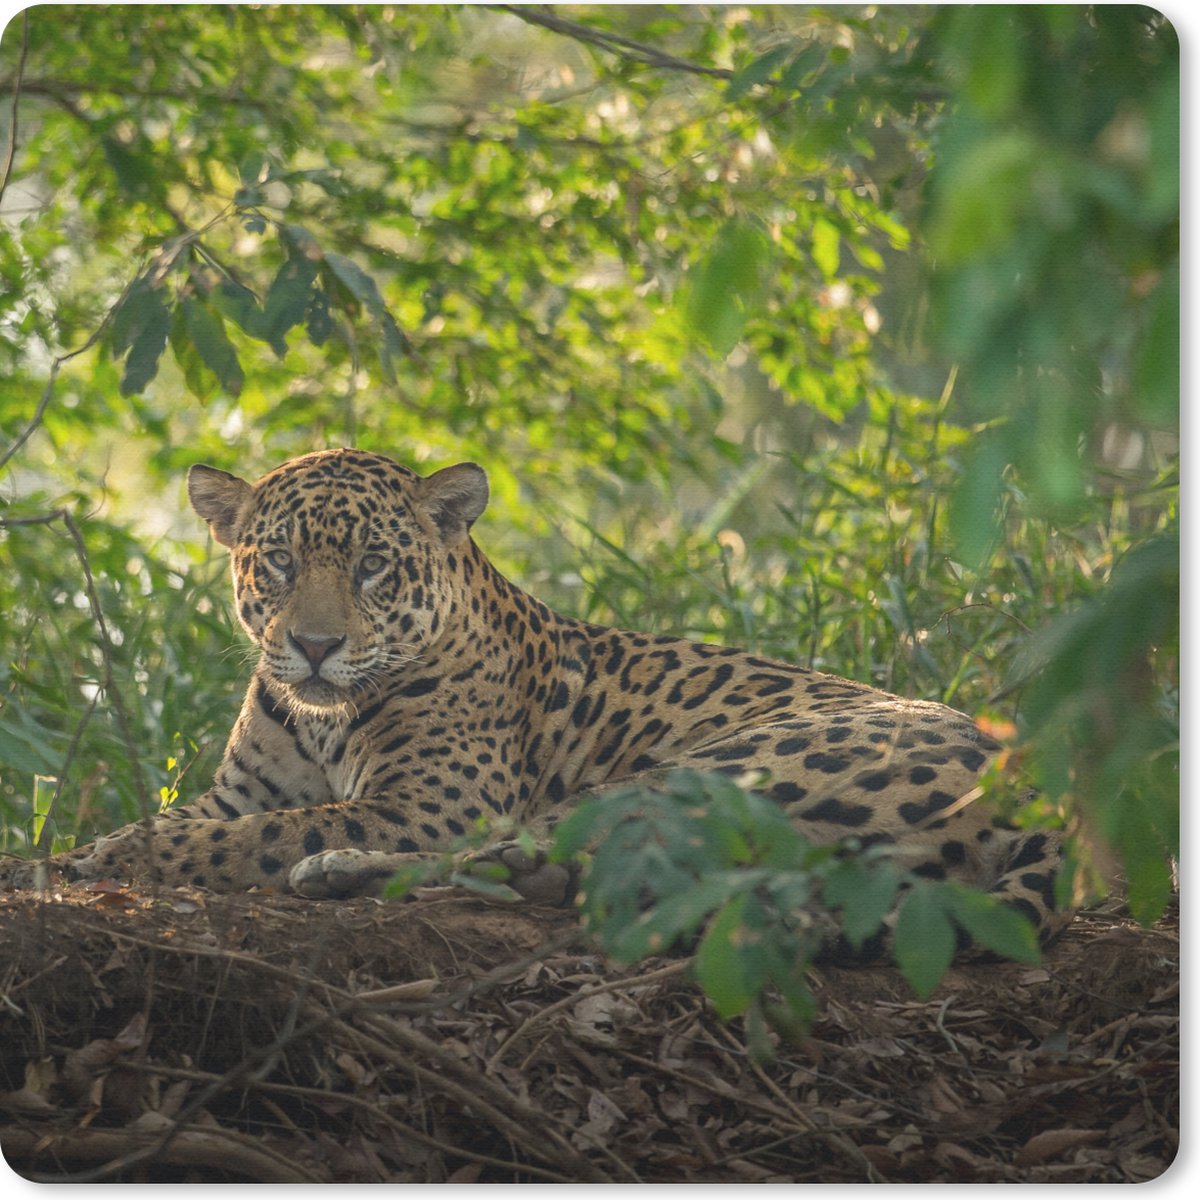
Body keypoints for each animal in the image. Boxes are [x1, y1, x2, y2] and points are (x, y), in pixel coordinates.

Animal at [2, 448, 1068, 944]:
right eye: (279, 562)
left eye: (374, 565)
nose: (312, 646)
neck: (320, 721)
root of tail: (1033, 794)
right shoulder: (239, 789)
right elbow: (201, 817)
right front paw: (50, 856)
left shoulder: (429, 802)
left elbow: (241, 837)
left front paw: (114, 857)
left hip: (708, 773)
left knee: (527, 859)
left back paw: (337, 871)